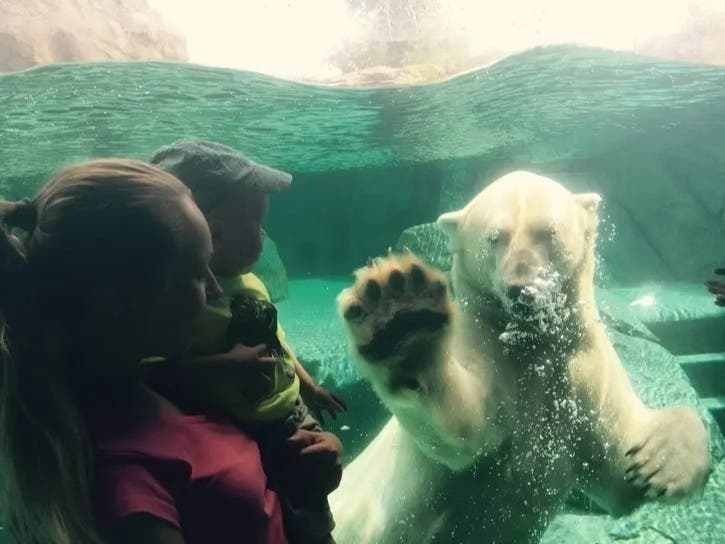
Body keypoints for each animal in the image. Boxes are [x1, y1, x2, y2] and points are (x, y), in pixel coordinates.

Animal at [329, 171, 711, 544]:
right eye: (494, 237)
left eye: (548, 233)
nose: (521, 288)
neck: (533, 345)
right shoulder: (490, 357)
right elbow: (464, 427)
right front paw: (401, 321)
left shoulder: (587, 372)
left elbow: (620, 467)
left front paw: (659, 461)